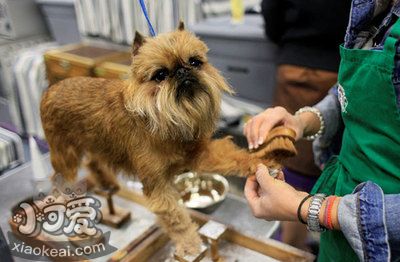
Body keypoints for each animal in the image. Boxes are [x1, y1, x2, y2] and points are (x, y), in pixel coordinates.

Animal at [40, 23, 296, 256]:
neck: (166, 120)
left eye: (195, 62)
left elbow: (231, 157)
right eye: (160, 75)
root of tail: (51, 89)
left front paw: (258, 161)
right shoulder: (159, 189)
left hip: (95, 142)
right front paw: (191, 245)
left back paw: (106, 182)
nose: (182, 71)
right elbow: (177, 219)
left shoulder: (201, 154)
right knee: (61, 180)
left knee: (93, 162)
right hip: (65, 153)